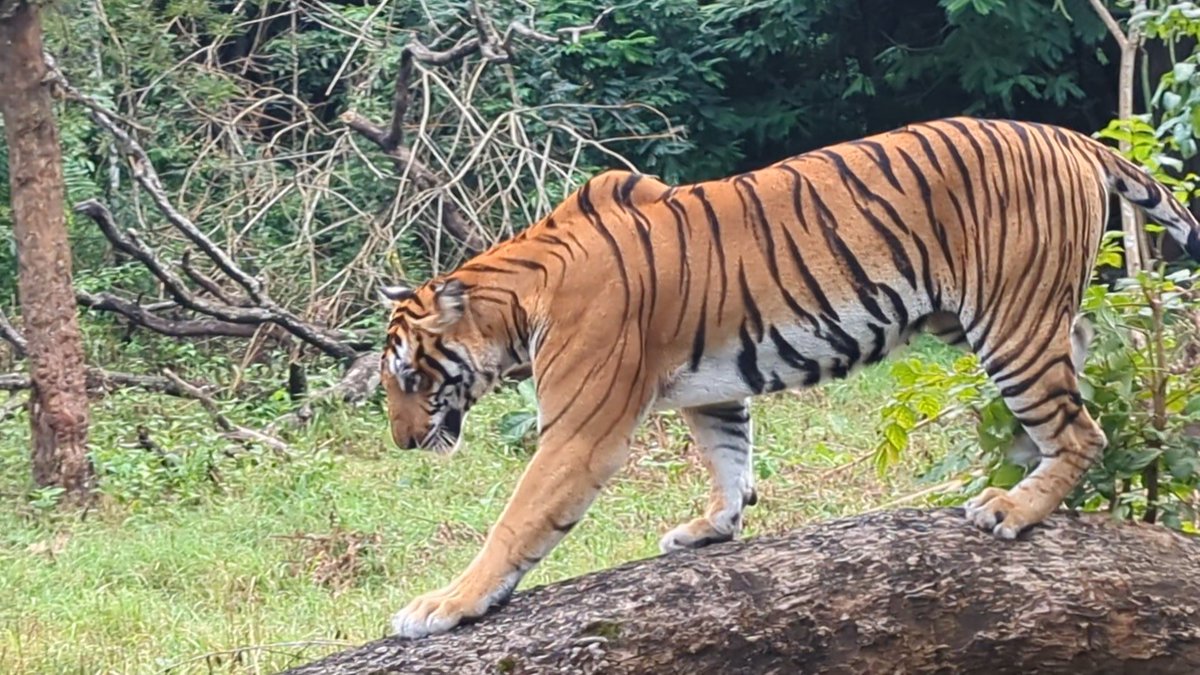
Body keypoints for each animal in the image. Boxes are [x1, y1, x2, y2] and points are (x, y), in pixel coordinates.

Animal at [378, 116, 1200, 638]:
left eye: (410, 376)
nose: (404, 443)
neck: (515, 301)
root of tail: (1067, 135)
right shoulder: (712, 387)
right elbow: (729, 458)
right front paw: (712, 528)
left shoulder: (580, 431)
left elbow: (516, 523)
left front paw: (443, 606)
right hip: (1012, 315)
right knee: (1079, 365)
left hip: (1009, 320)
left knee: (1080, 428)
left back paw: (1013, 508)